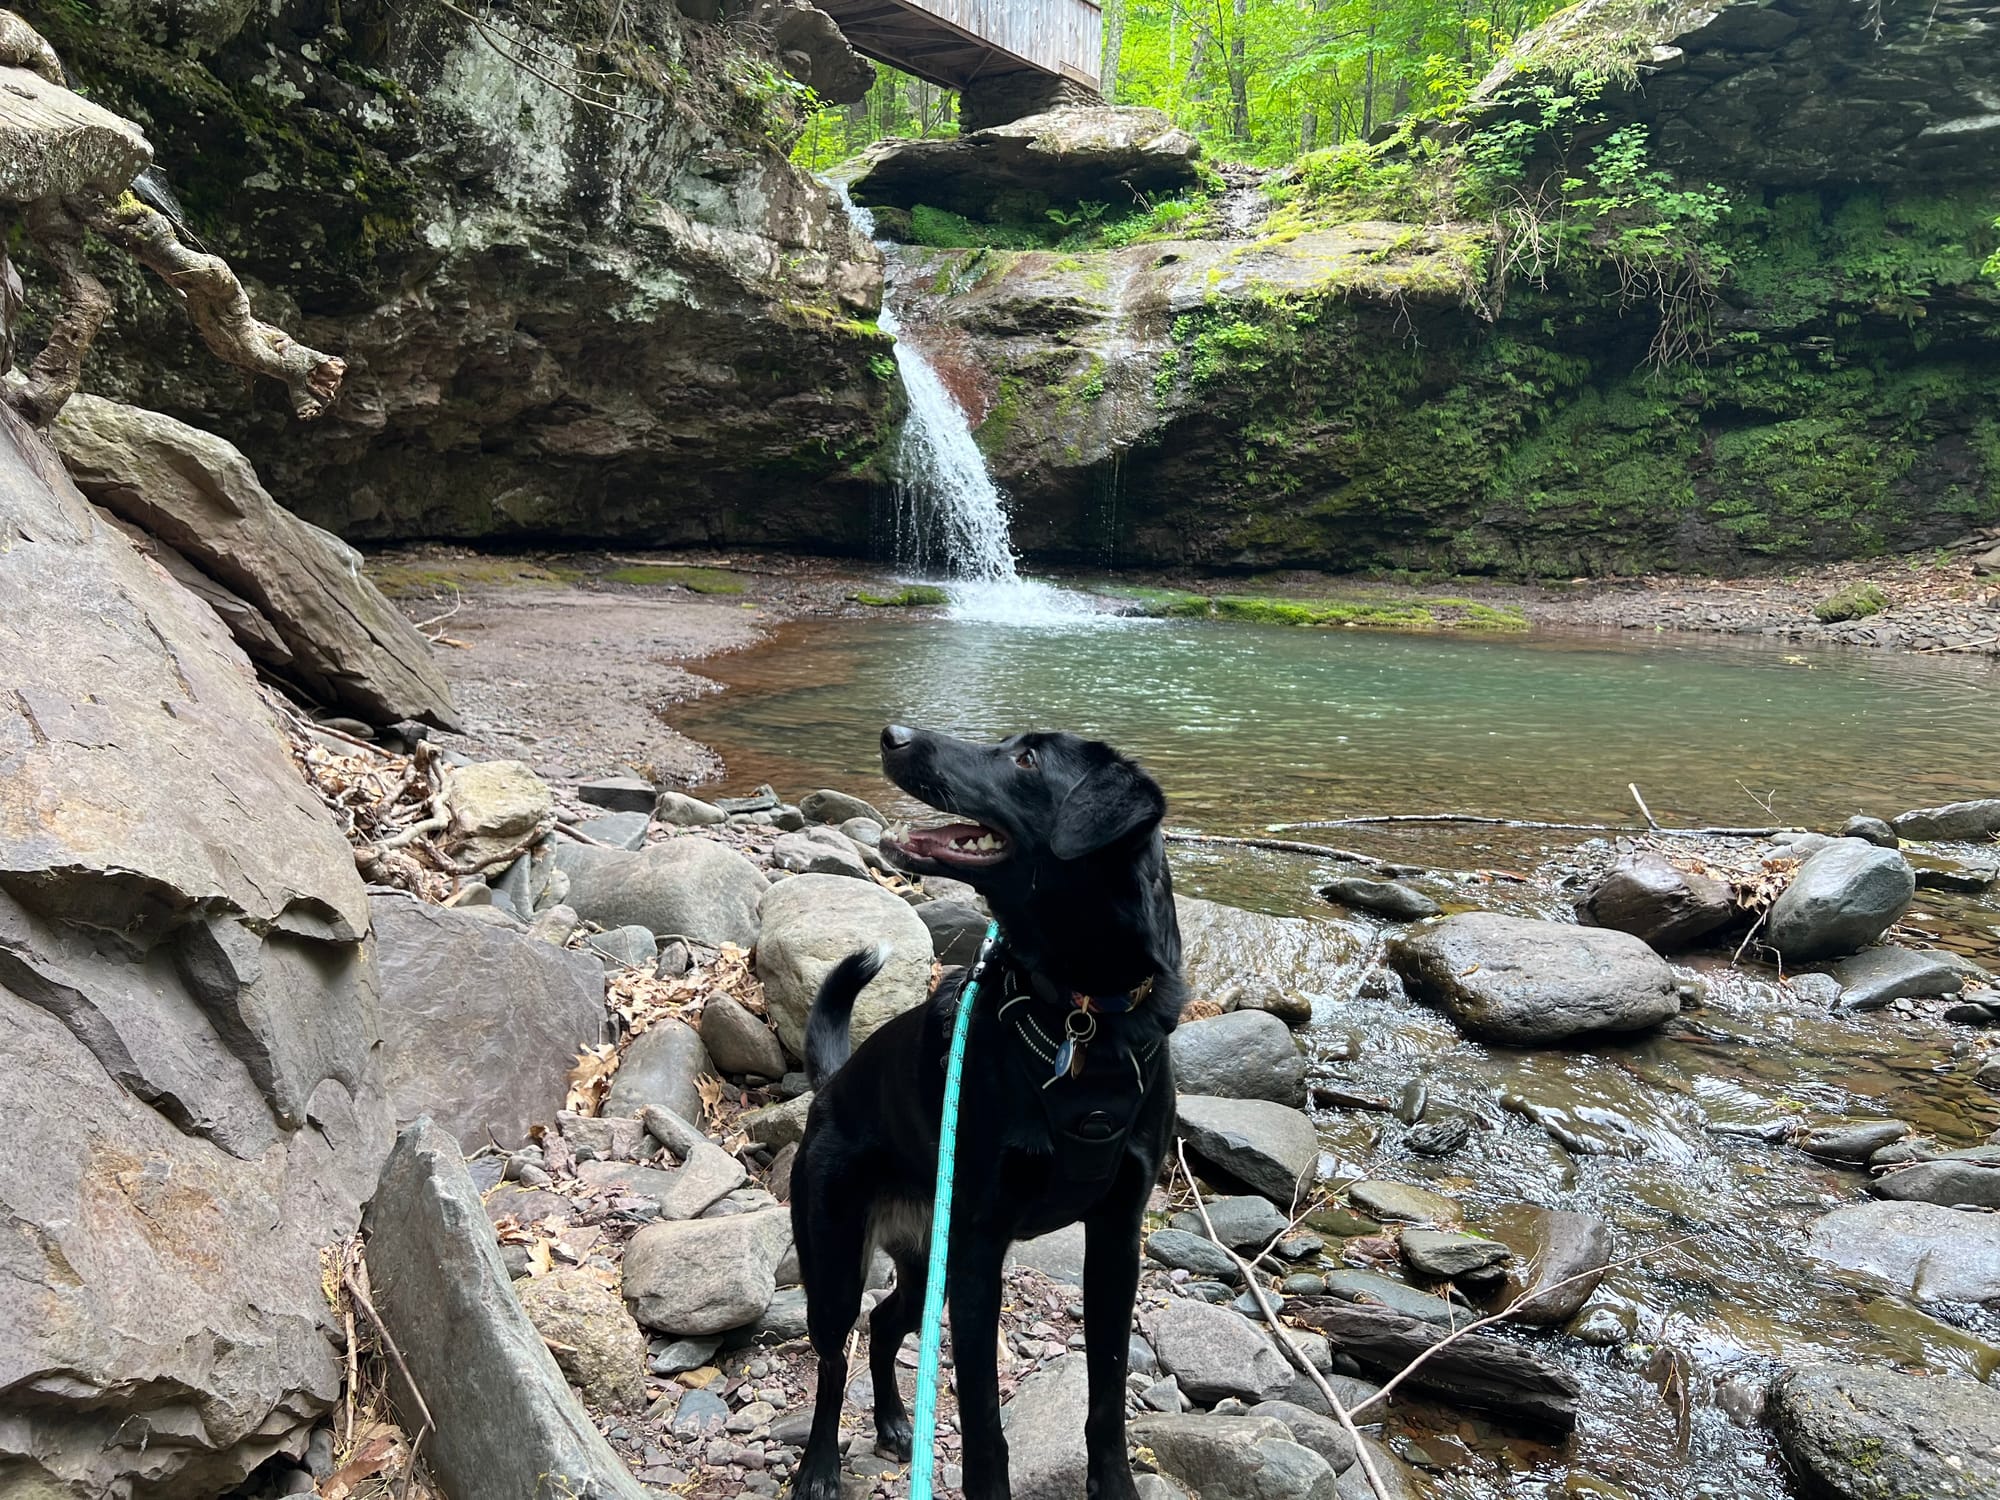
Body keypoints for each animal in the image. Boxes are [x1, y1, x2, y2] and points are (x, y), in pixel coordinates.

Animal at [784, 728, 1184, 1500]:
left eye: (1026, 759)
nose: (894, 735)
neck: (1080, 1019)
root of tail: (830, 1087)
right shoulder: (977, 1255)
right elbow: (983, 1429)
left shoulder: (1115, 1244)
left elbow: (1107, 1397)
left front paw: (1115, 1486)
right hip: (835, 1259)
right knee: (835, 1355)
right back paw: (817, 1468)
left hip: (923, 1268)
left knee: (884, 1323)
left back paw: (893, 1421)